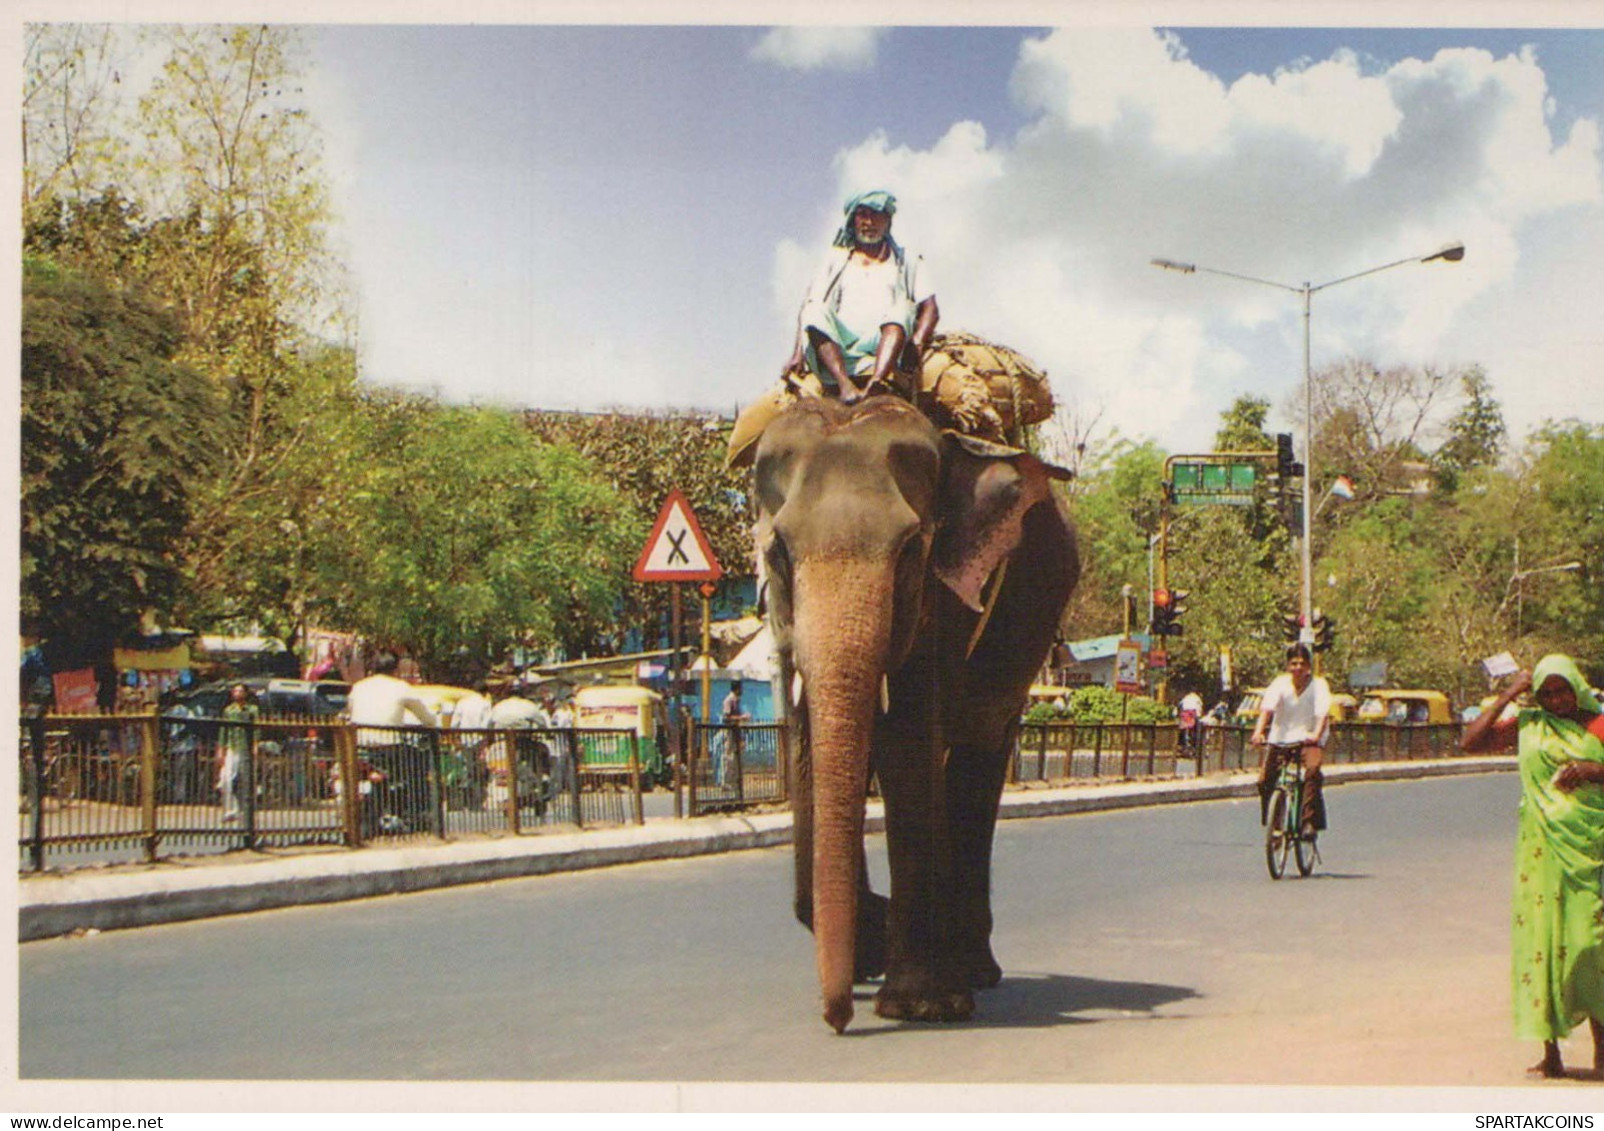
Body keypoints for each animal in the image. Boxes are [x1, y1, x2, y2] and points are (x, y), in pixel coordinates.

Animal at [747, 393, 1077, 1026]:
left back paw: (971, 971)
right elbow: (805, 743)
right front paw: (866, 947)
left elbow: (908, 738)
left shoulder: (945, 599)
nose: (837, 1020)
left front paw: (918, 1004)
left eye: (910, 551)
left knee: (977, 752)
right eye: (778, 552)